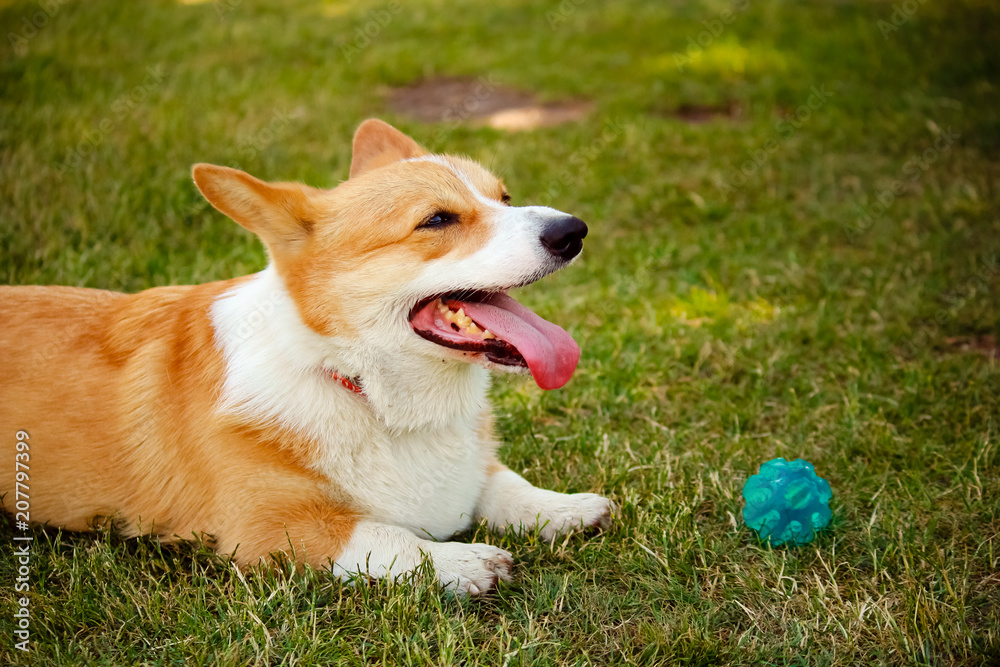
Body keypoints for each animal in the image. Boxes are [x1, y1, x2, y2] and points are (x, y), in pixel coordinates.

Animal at [0, 118, 612, 596]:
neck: (365, 390)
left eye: (504, 198)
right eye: (437, 220)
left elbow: (500, 483)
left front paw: (566, 509)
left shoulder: (472, 473)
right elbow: (388, 536)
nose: (575, 230)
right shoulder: (268, 528)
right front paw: (463, 562)